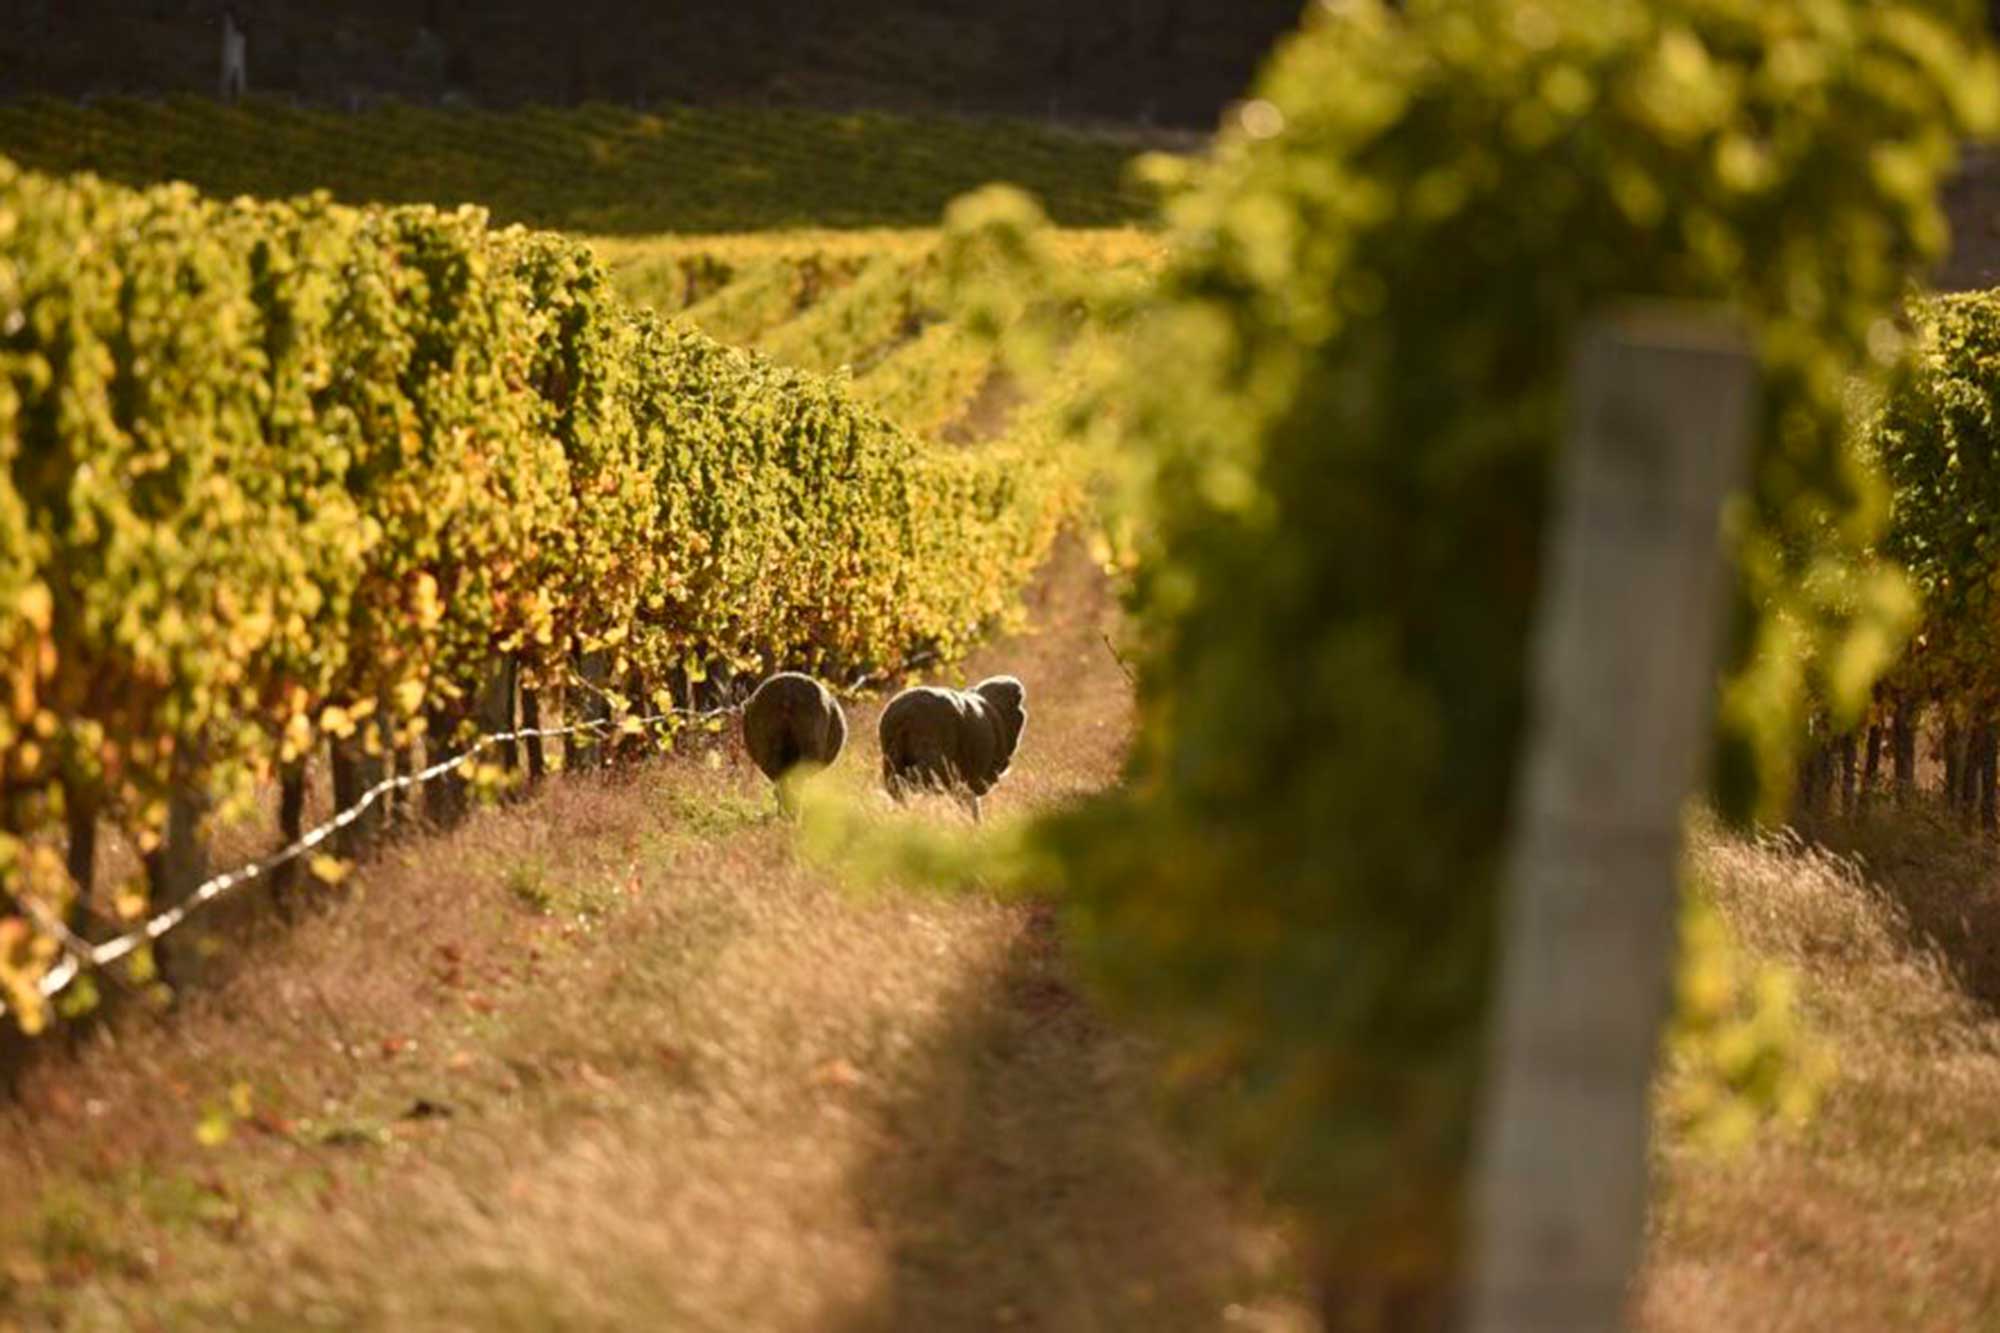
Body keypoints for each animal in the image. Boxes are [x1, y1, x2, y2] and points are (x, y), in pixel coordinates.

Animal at [877, 675, 1027, 821]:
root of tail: (902, 714)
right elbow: (971, 803)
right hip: (934, 762)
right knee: (910, 779)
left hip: (891, 760)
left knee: (896, 786)